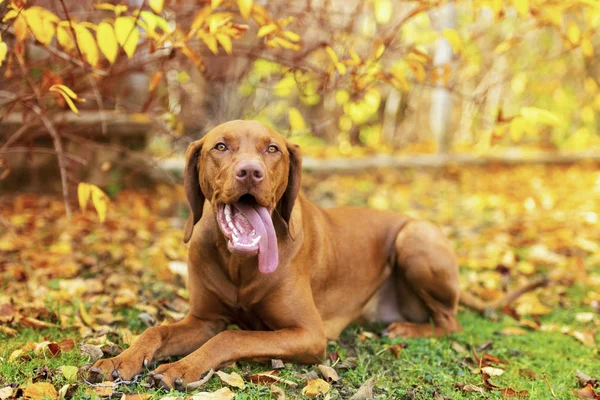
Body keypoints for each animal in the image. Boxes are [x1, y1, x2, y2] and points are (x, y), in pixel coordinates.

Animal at [89, 120, 462, 390]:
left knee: (450, 322)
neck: (240, 262)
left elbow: (233, 335)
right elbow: (156, 331)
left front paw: (183, 366)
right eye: (220, 146)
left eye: (272, 149)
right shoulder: (204, 319)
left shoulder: (309, 334)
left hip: (413, 236)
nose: (250, 172)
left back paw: (407, 331)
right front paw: (120, 361)